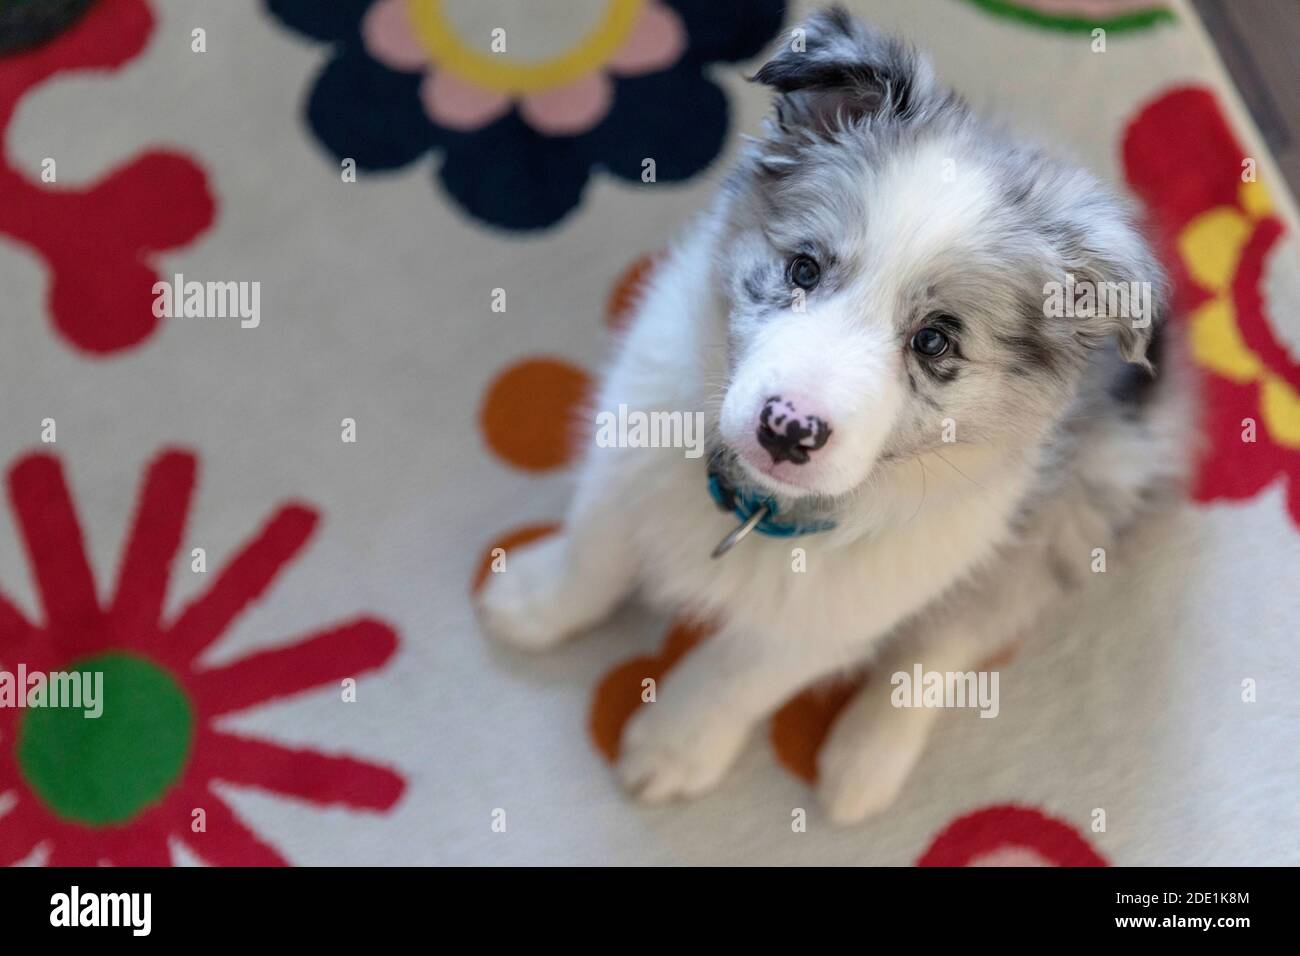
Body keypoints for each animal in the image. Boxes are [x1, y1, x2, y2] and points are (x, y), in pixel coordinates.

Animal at [475, 5, 1190, 822]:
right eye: (803, 269)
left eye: (935, 340)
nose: (787, 429)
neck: (757, 509)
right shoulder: (628, 456)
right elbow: (594, 552)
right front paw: (537, 601)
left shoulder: (832, 617)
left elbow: (737, 675)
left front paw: (675, 746)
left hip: (1078, 500)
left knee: (952, 639)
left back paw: (863, 765)